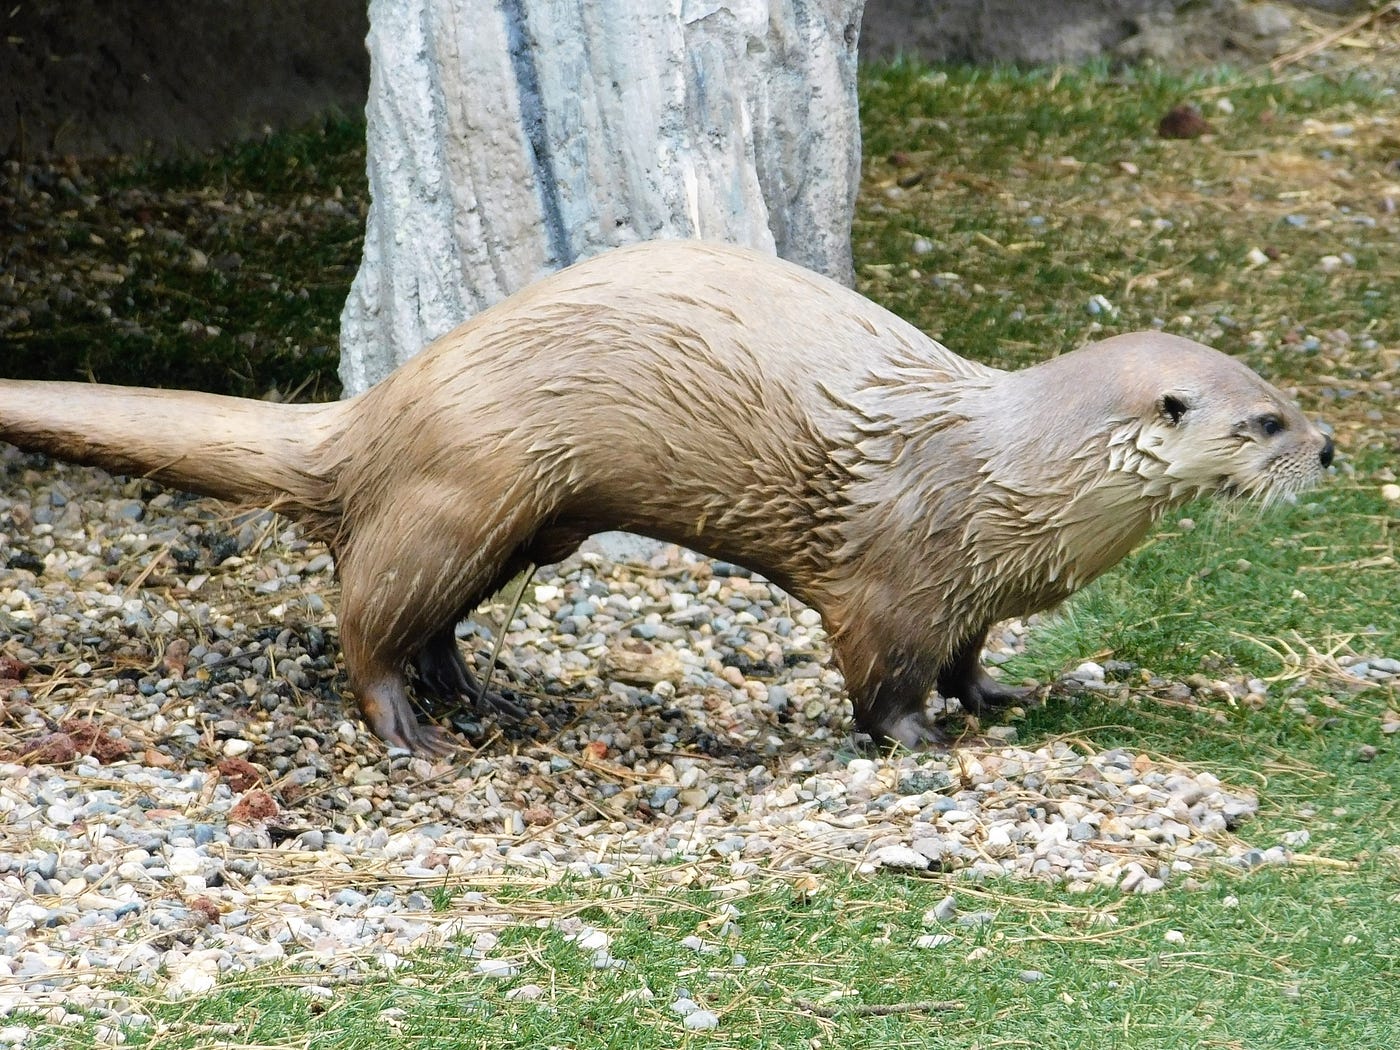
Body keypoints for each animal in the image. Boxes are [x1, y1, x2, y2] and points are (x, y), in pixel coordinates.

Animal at [0, 241, 1333, 755]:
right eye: (1258, 419)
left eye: (1284, 392)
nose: (1324, 448)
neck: (1010, 478)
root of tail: (378, 408)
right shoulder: (898, 578)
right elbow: (883, 675)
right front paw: (914, 742)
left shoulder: (974, 588)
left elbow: (966, 657)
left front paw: (997, 698)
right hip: (459, 493)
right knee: (363, 618)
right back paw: (406, 728)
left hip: (506, 529)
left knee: (423, 619)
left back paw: (480, 697)